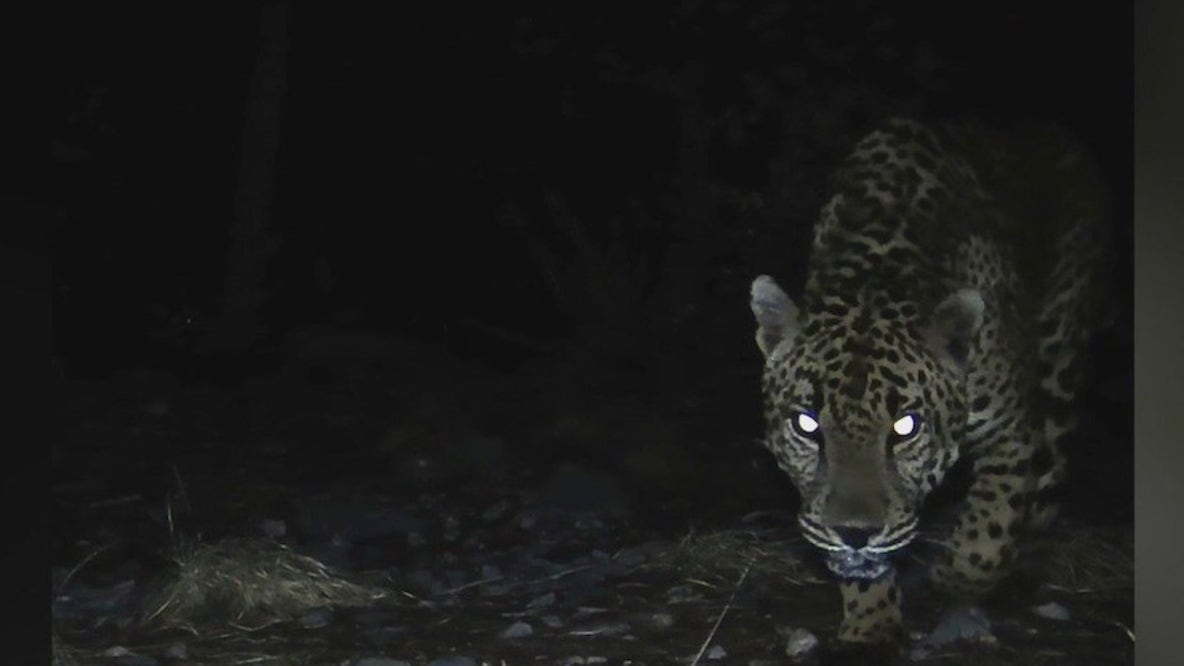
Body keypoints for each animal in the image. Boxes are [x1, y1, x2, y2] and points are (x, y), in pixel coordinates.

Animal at [748, 117, 1111, 644]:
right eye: (807, 424)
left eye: (906, 428)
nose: (854, 533)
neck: (875, 277)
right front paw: (872, 624)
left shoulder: (1010, 431)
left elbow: (992, 521)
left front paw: (957, 580)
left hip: (1061, 356)